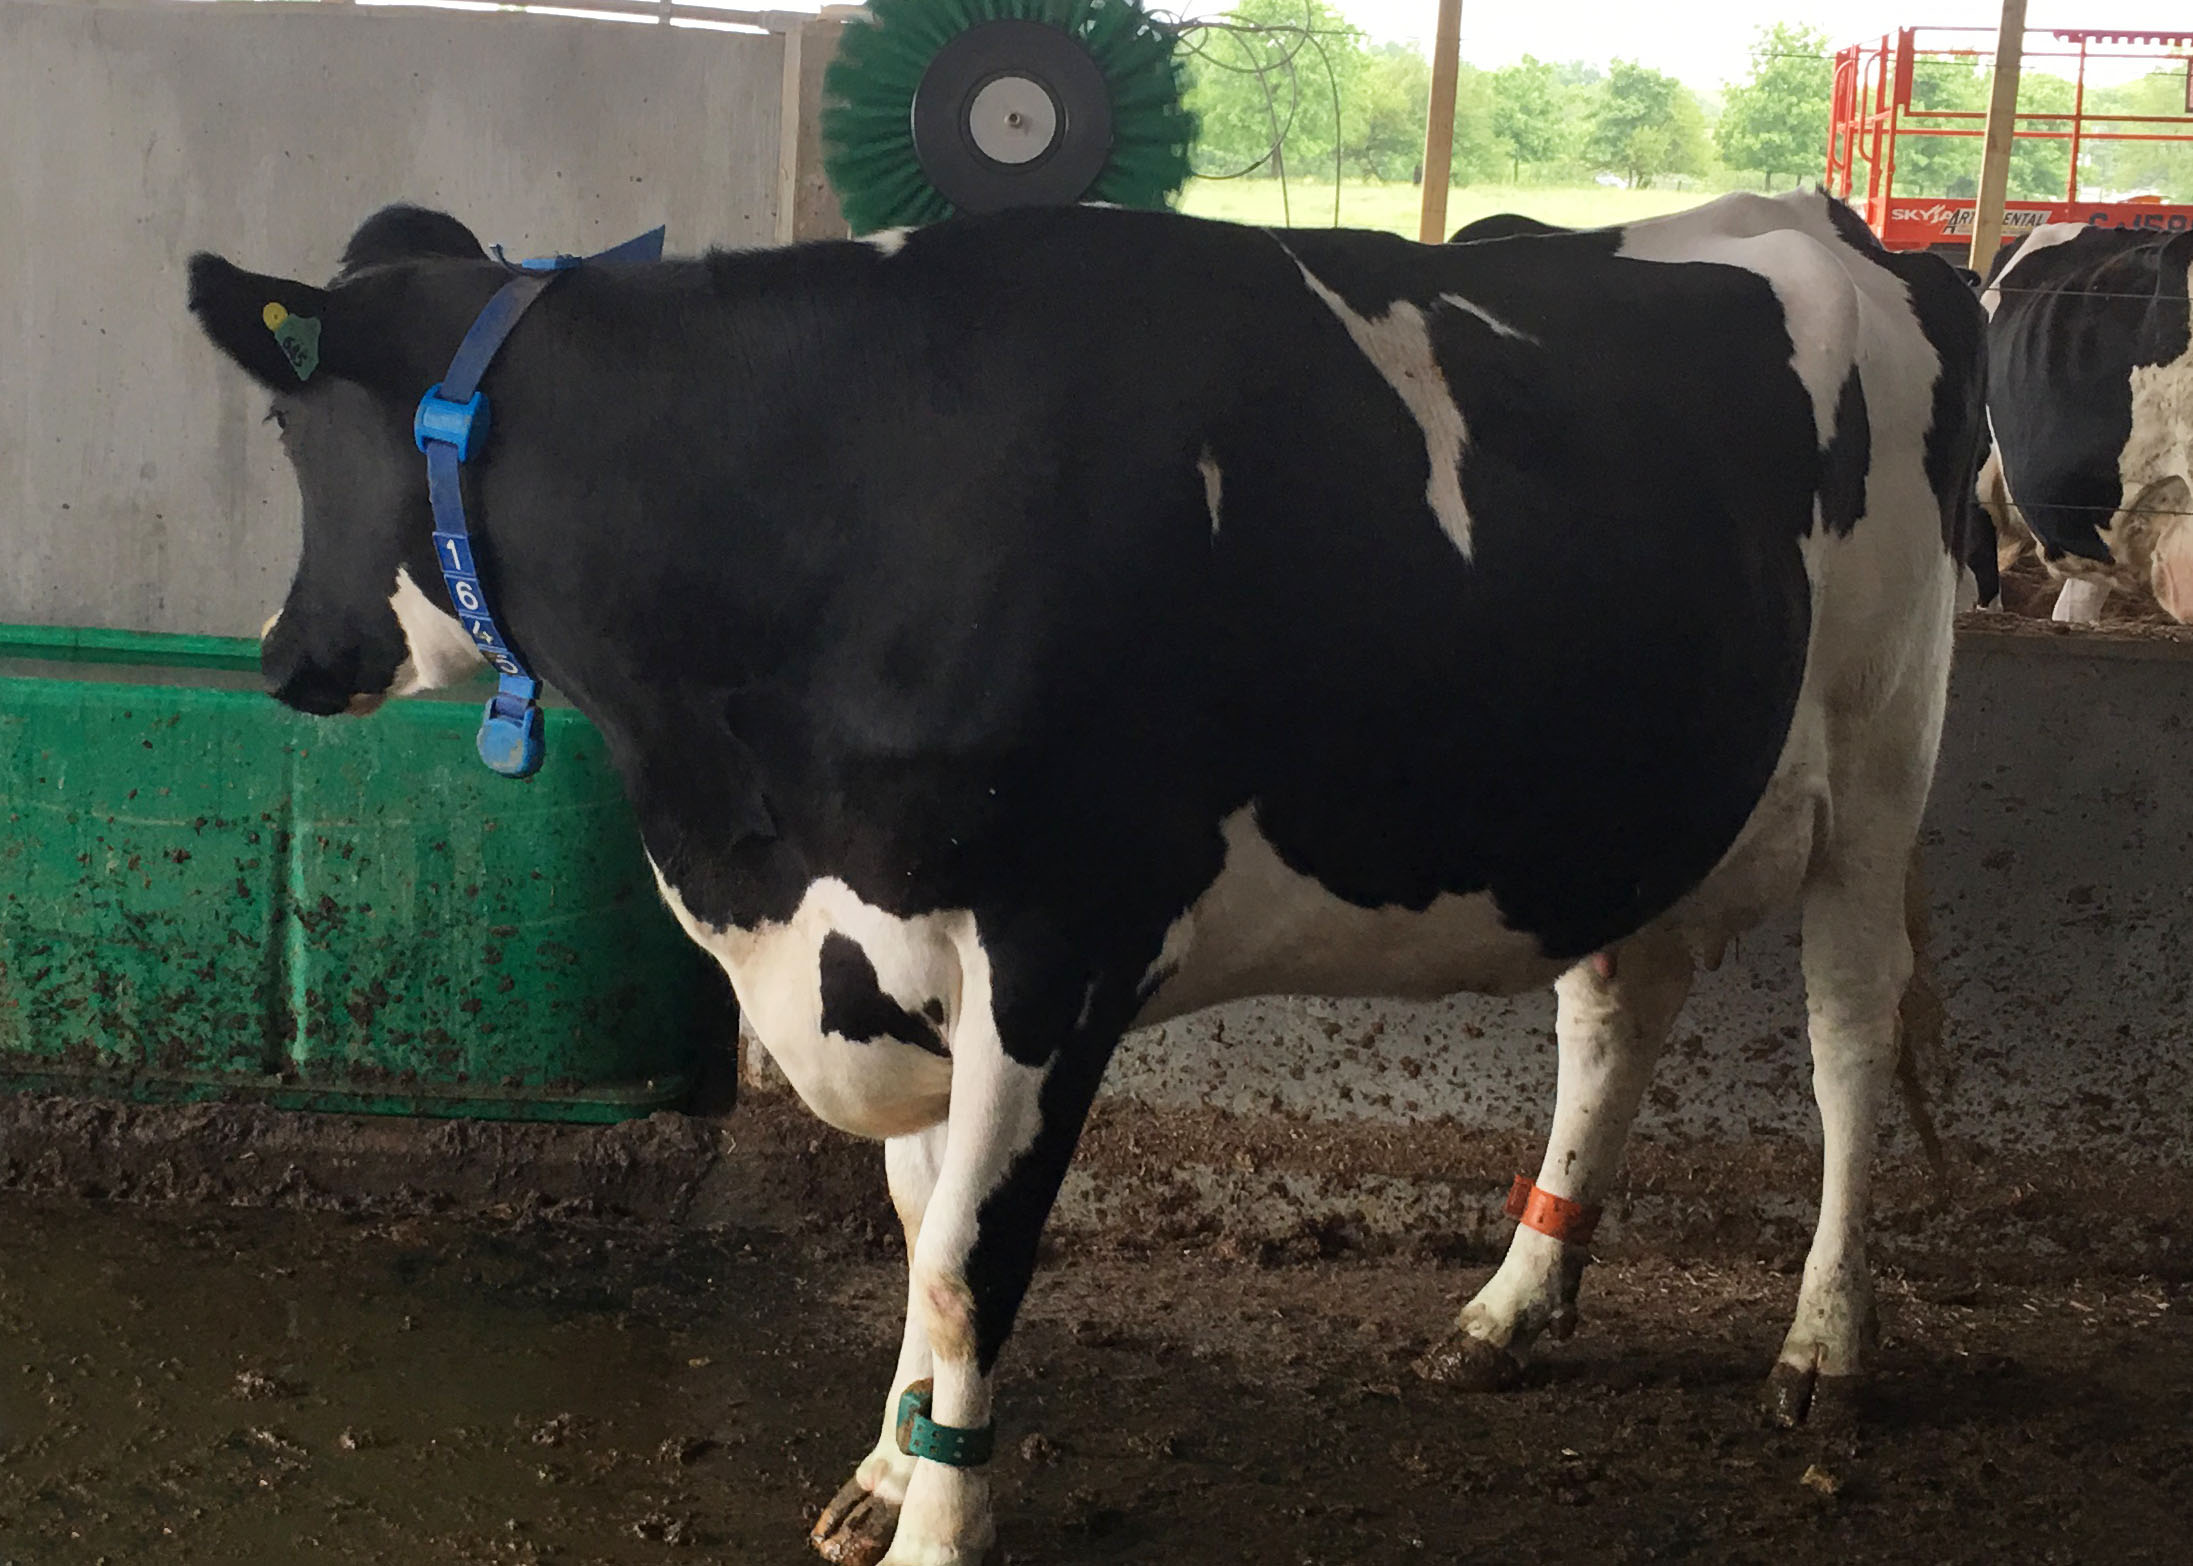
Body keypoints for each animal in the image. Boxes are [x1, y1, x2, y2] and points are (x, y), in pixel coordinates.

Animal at [192, 191, 1991, 1561]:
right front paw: (883, 1469)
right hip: (1638, 803)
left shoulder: (1059, 941)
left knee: (1845, 1047)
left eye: (285, 426)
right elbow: (918, 1228)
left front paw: (935, 1524)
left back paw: (1825, 1347)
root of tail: (1827, 220)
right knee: (1613, 1013)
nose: (282, 657)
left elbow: (967, 1263)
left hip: (1882, 748)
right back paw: (1507, 1308)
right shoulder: (883, 941)